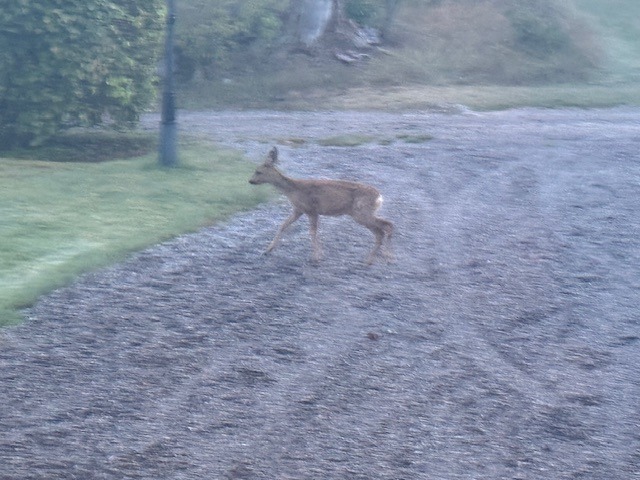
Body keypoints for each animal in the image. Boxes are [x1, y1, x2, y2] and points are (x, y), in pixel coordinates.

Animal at [249, 147, 393, 264]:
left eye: (258, 171)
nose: (250, 181)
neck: (292, 190)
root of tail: (379, 196)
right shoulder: (298, 210)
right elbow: (283, 225)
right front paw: (267, 250)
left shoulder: (312, 210)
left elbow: (312, 232)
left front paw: (316, 257)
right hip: (364, 213)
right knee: (386, 227)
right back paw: (378, 258)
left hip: (361, 213)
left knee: (383, 229)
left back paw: (378, 258)